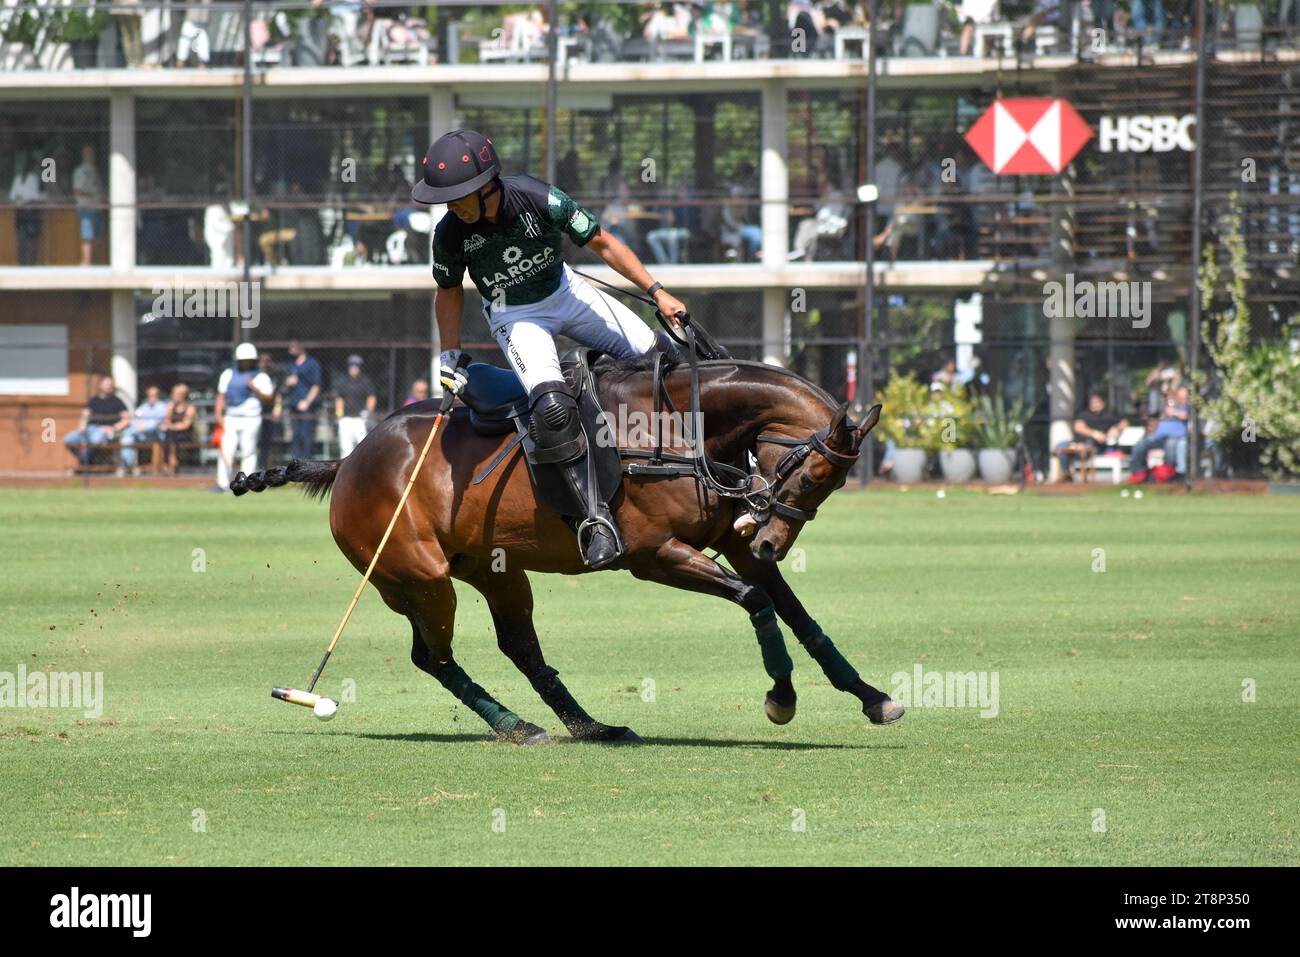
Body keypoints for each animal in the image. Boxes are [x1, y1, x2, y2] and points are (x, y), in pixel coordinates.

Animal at [233, 356, 904, 743]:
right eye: (815, 476)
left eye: (834, 484)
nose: (770, 538)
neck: (679, 428)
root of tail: (347, 460)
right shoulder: (654, 556)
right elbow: (756, 602)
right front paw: (781, 699)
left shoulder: (724, 541)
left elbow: (798, 615)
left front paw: (874, 699)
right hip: (416, 575)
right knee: (434, 656)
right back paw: (517, 726)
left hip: (496, 570)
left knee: (519, 647)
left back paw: (589, 725)